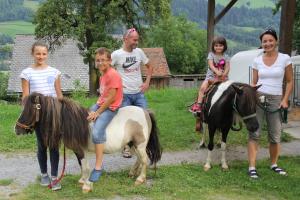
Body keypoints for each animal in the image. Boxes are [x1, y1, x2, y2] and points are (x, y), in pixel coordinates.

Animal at [14, 93, 162, 192]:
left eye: (29, 110)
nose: (16, 129)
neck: (72, 122)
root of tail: (145, 112)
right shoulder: (78, 151)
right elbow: (82, 166)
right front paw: (82, 180)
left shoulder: (81, 150)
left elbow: (85, 167)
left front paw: (87, 185)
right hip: (133, 144)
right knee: (139, 159)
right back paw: (132, 173)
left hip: (140, 144)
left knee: (144, 159)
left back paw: (140, 179)